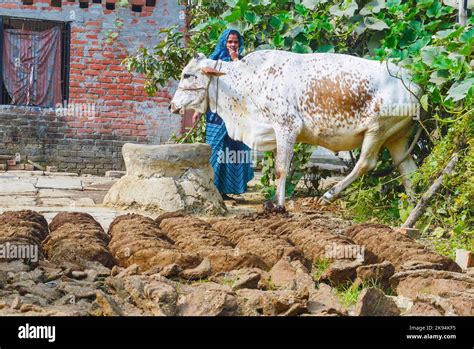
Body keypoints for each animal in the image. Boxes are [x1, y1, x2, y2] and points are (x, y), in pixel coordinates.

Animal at [171, 50, 422, 211]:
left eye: (187, 75)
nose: (172, 106)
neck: (245, 84)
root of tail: (413, 83)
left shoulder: (287, 126)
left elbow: (281, 169)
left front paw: (279, 206)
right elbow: (278, 170)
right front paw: (274, 201)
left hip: (377, 129)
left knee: (365, 164)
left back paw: (328, 197)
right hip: (396, 138)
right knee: (409, 171)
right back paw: (413, 211)